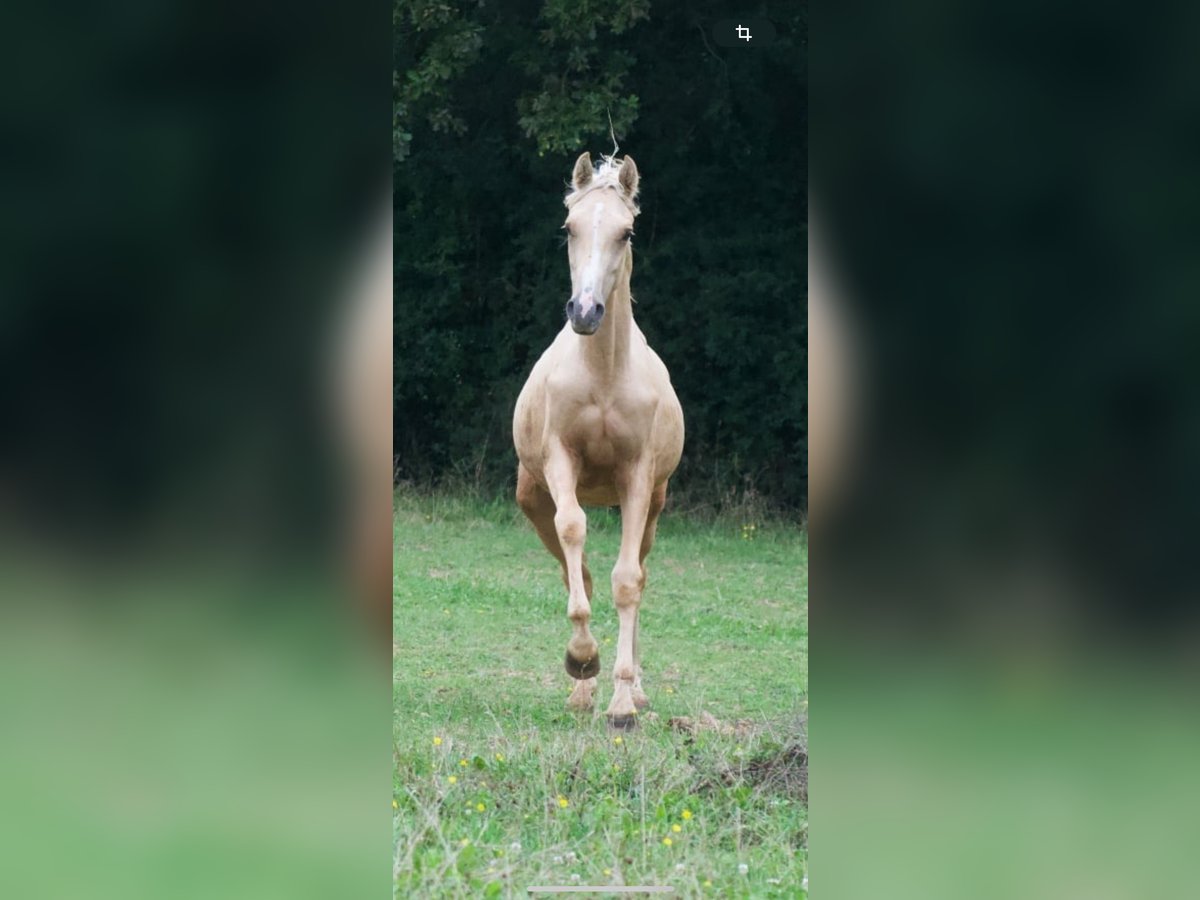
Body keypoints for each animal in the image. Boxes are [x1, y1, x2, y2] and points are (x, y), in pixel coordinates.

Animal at [511, 153, 686, 734]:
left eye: (625, 232)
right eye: (570, 228)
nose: (585, 312)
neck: (605, 376)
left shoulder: (637, 477)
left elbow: (627, 581)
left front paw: (623, 705)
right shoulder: (560, 464)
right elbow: (575, 540)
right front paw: (582, 660)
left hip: (654, 505)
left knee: (639, 576)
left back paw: (633, 691)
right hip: (532, 500)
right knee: (576, 568)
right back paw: (581, 689)